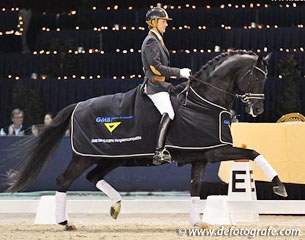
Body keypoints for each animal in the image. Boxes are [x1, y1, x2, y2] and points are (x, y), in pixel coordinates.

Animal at [5, 49, 286, 230]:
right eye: (256, 76)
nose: (258, 110)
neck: (204, 102)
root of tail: (78, 105)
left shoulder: (201, 157)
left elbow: (195, 188)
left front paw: (197, 222)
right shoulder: (216, 151)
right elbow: (254, 153)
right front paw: (278, 186)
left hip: (111, 158)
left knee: (93, 177)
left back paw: (116, 206)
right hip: (85, 156)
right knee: (64, 180)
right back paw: (64, 222)